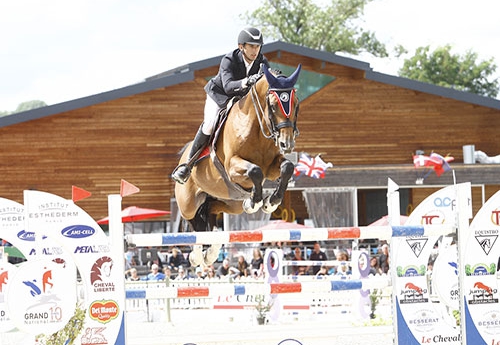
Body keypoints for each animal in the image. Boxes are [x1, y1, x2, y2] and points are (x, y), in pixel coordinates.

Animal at [176, 63, 300, 264]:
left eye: (296, 104)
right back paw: (197, 256)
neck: (256, 126)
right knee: (193, 221)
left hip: (228, 202)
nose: (286, 144)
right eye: (273, 106)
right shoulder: (232, 166)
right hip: (188, 202)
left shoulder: (272, 167)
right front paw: (255, 203)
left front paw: (270, 202)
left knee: (210, 211)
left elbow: (286, 168)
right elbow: (255, 171)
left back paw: (210, 252)